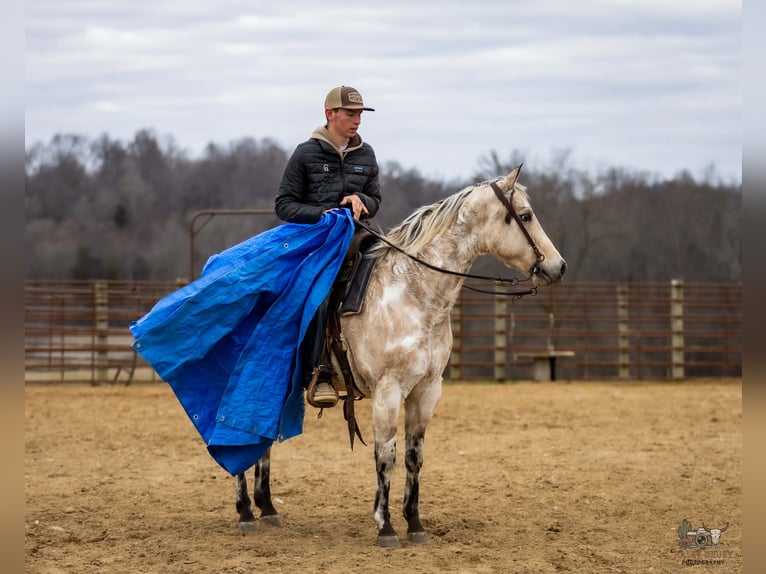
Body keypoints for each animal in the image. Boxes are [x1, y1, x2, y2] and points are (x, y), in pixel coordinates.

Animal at [234, 165, 567, 547]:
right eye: (525, 215)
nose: (558, 267)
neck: (412, 293)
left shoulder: (427, 391)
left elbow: (413, 457)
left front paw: (415, 524)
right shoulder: (388, 391)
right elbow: (386, 457)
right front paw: (386, 526)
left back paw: (267, 508)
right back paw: (245, 512)